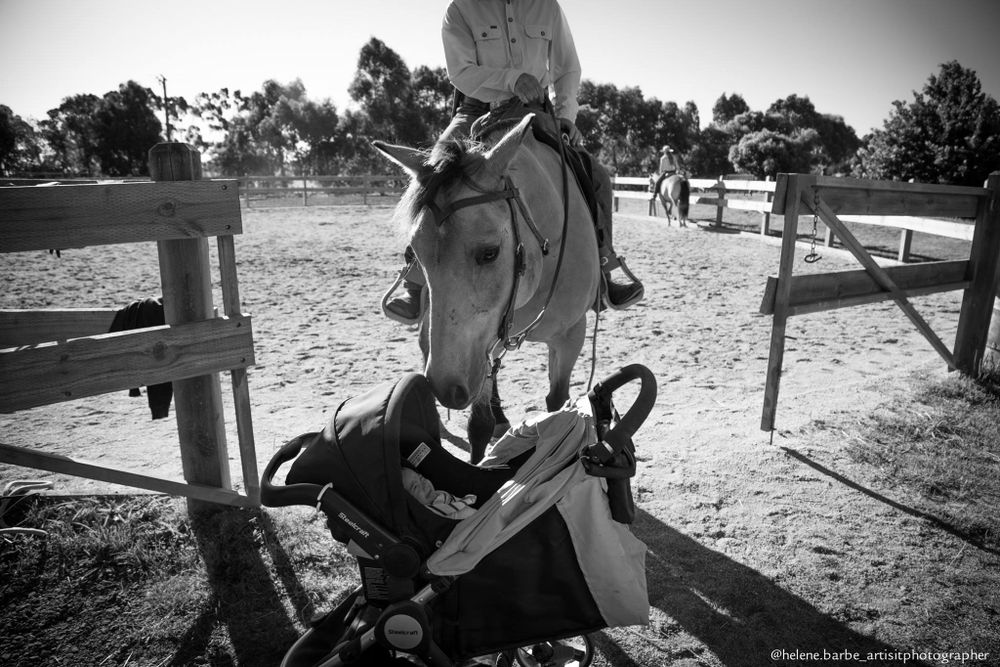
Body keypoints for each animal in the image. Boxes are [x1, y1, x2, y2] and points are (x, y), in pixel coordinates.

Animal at [374, 114, 601, 463]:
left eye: (490, 252)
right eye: (416, 253)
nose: (445, 387)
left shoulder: (571, 335)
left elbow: (556, 403)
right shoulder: (479, 343)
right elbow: (479, 424)